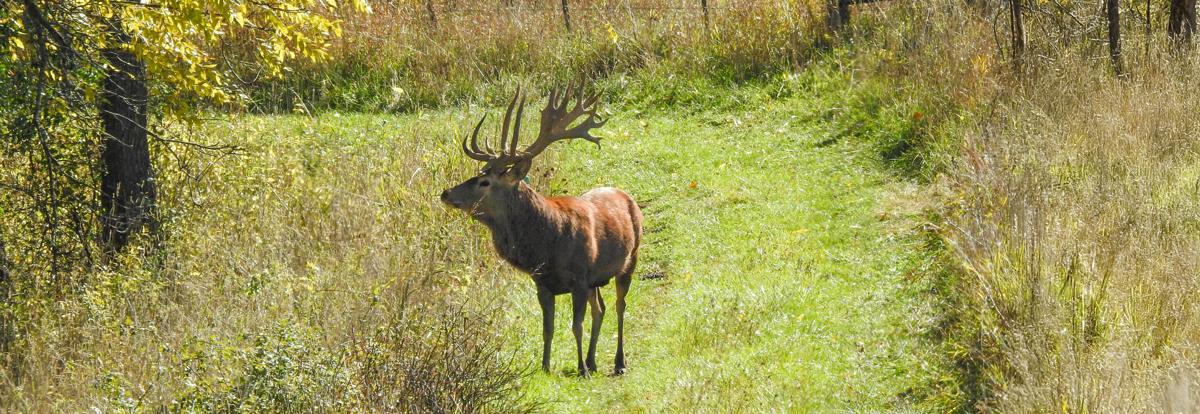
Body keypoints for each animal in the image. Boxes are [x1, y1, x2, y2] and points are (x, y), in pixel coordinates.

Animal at [440, 85, 642, 378]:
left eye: (484, 182)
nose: (445, 193)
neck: (547, 245)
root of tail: (628, 197)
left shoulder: (579, 278)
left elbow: (576, 326)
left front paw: (581, 370)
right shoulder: (543, 283)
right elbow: (548, 328)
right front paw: (546, 366)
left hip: (630, 259)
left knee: (619, 306)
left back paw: (618, 362)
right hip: (597, 279)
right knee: (601, 308)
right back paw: (593, 360)